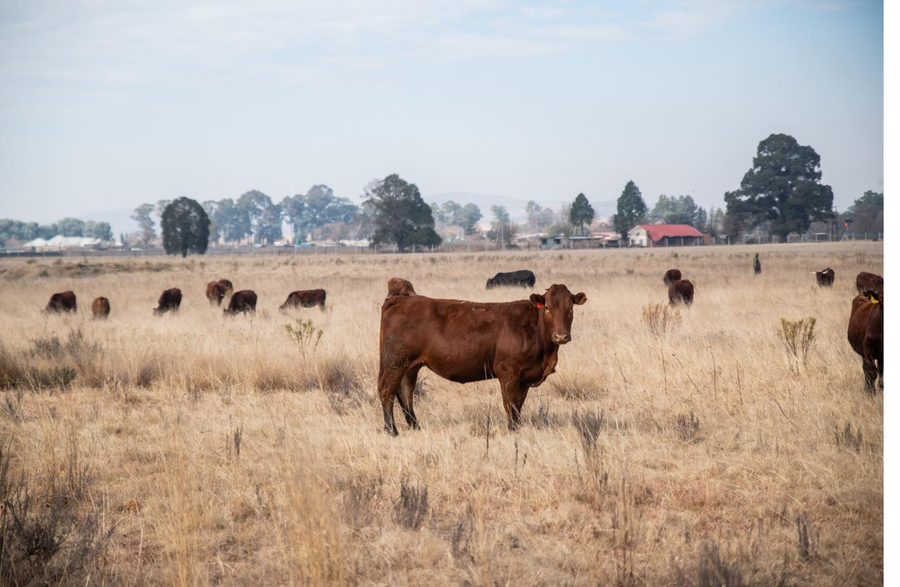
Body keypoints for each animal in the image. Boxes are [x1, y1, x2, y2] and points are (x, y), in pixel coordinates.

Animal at [377, 283, 587, 436]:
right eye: (548, 308)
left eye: (570, 308)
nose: (561, 336)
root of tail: (400, 299)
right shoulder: (508, 373)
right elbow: (510, 405)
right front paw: (512, 430)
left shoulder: (525, 378)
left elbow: (518, 406)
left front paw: (517, 428)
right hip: (395, 362)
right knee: (387, 390)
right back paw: (392, 430)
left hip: (411, 366)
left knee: (405, 393)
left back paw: (415, 427)